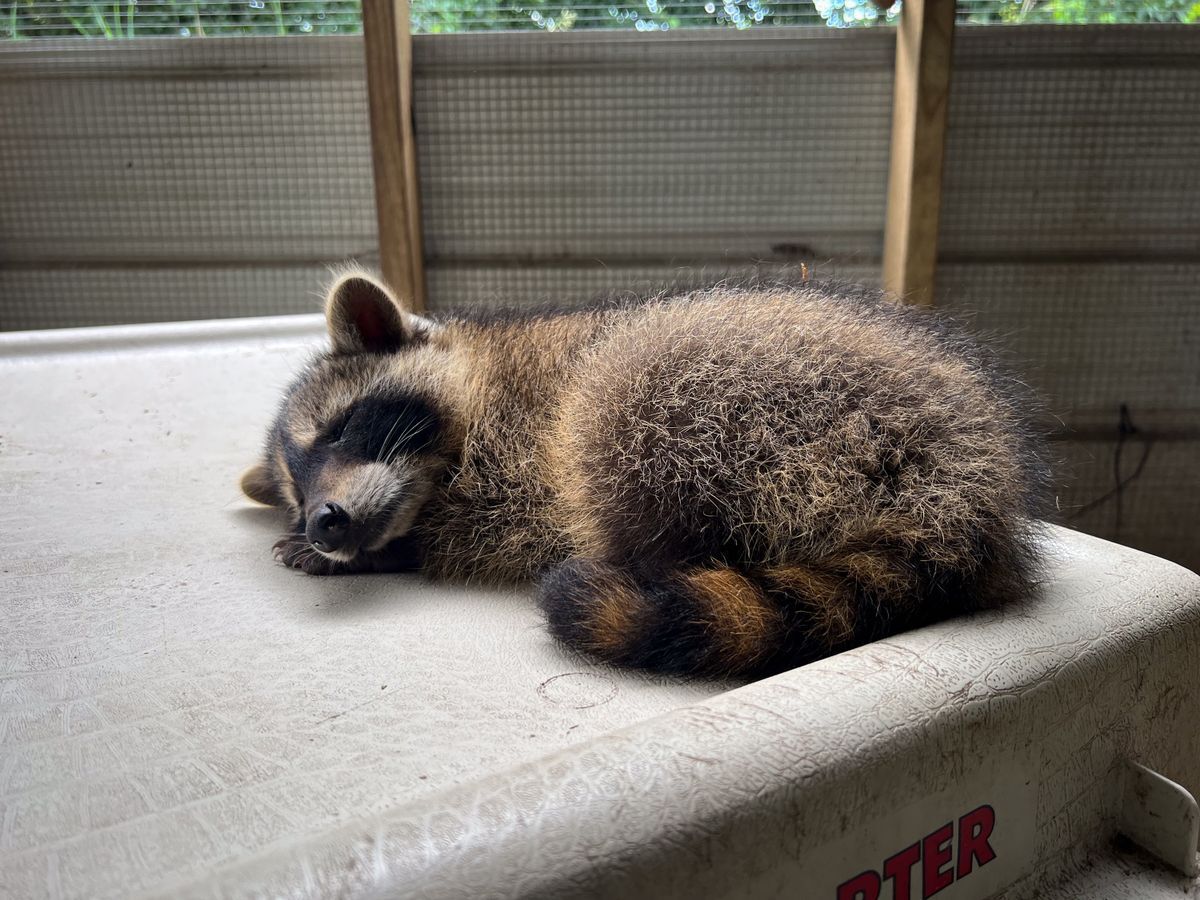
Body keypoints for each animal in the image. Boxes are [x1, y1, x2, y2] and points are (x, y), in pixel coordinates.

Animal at [238, 271, 1046, 681]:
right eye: (297, 494)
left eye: (340, 430)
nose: (325, 522)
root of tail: (963, 489)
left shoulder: (519, 438)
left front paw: (383, 553)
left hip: (772, 398)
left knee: (617, 396)